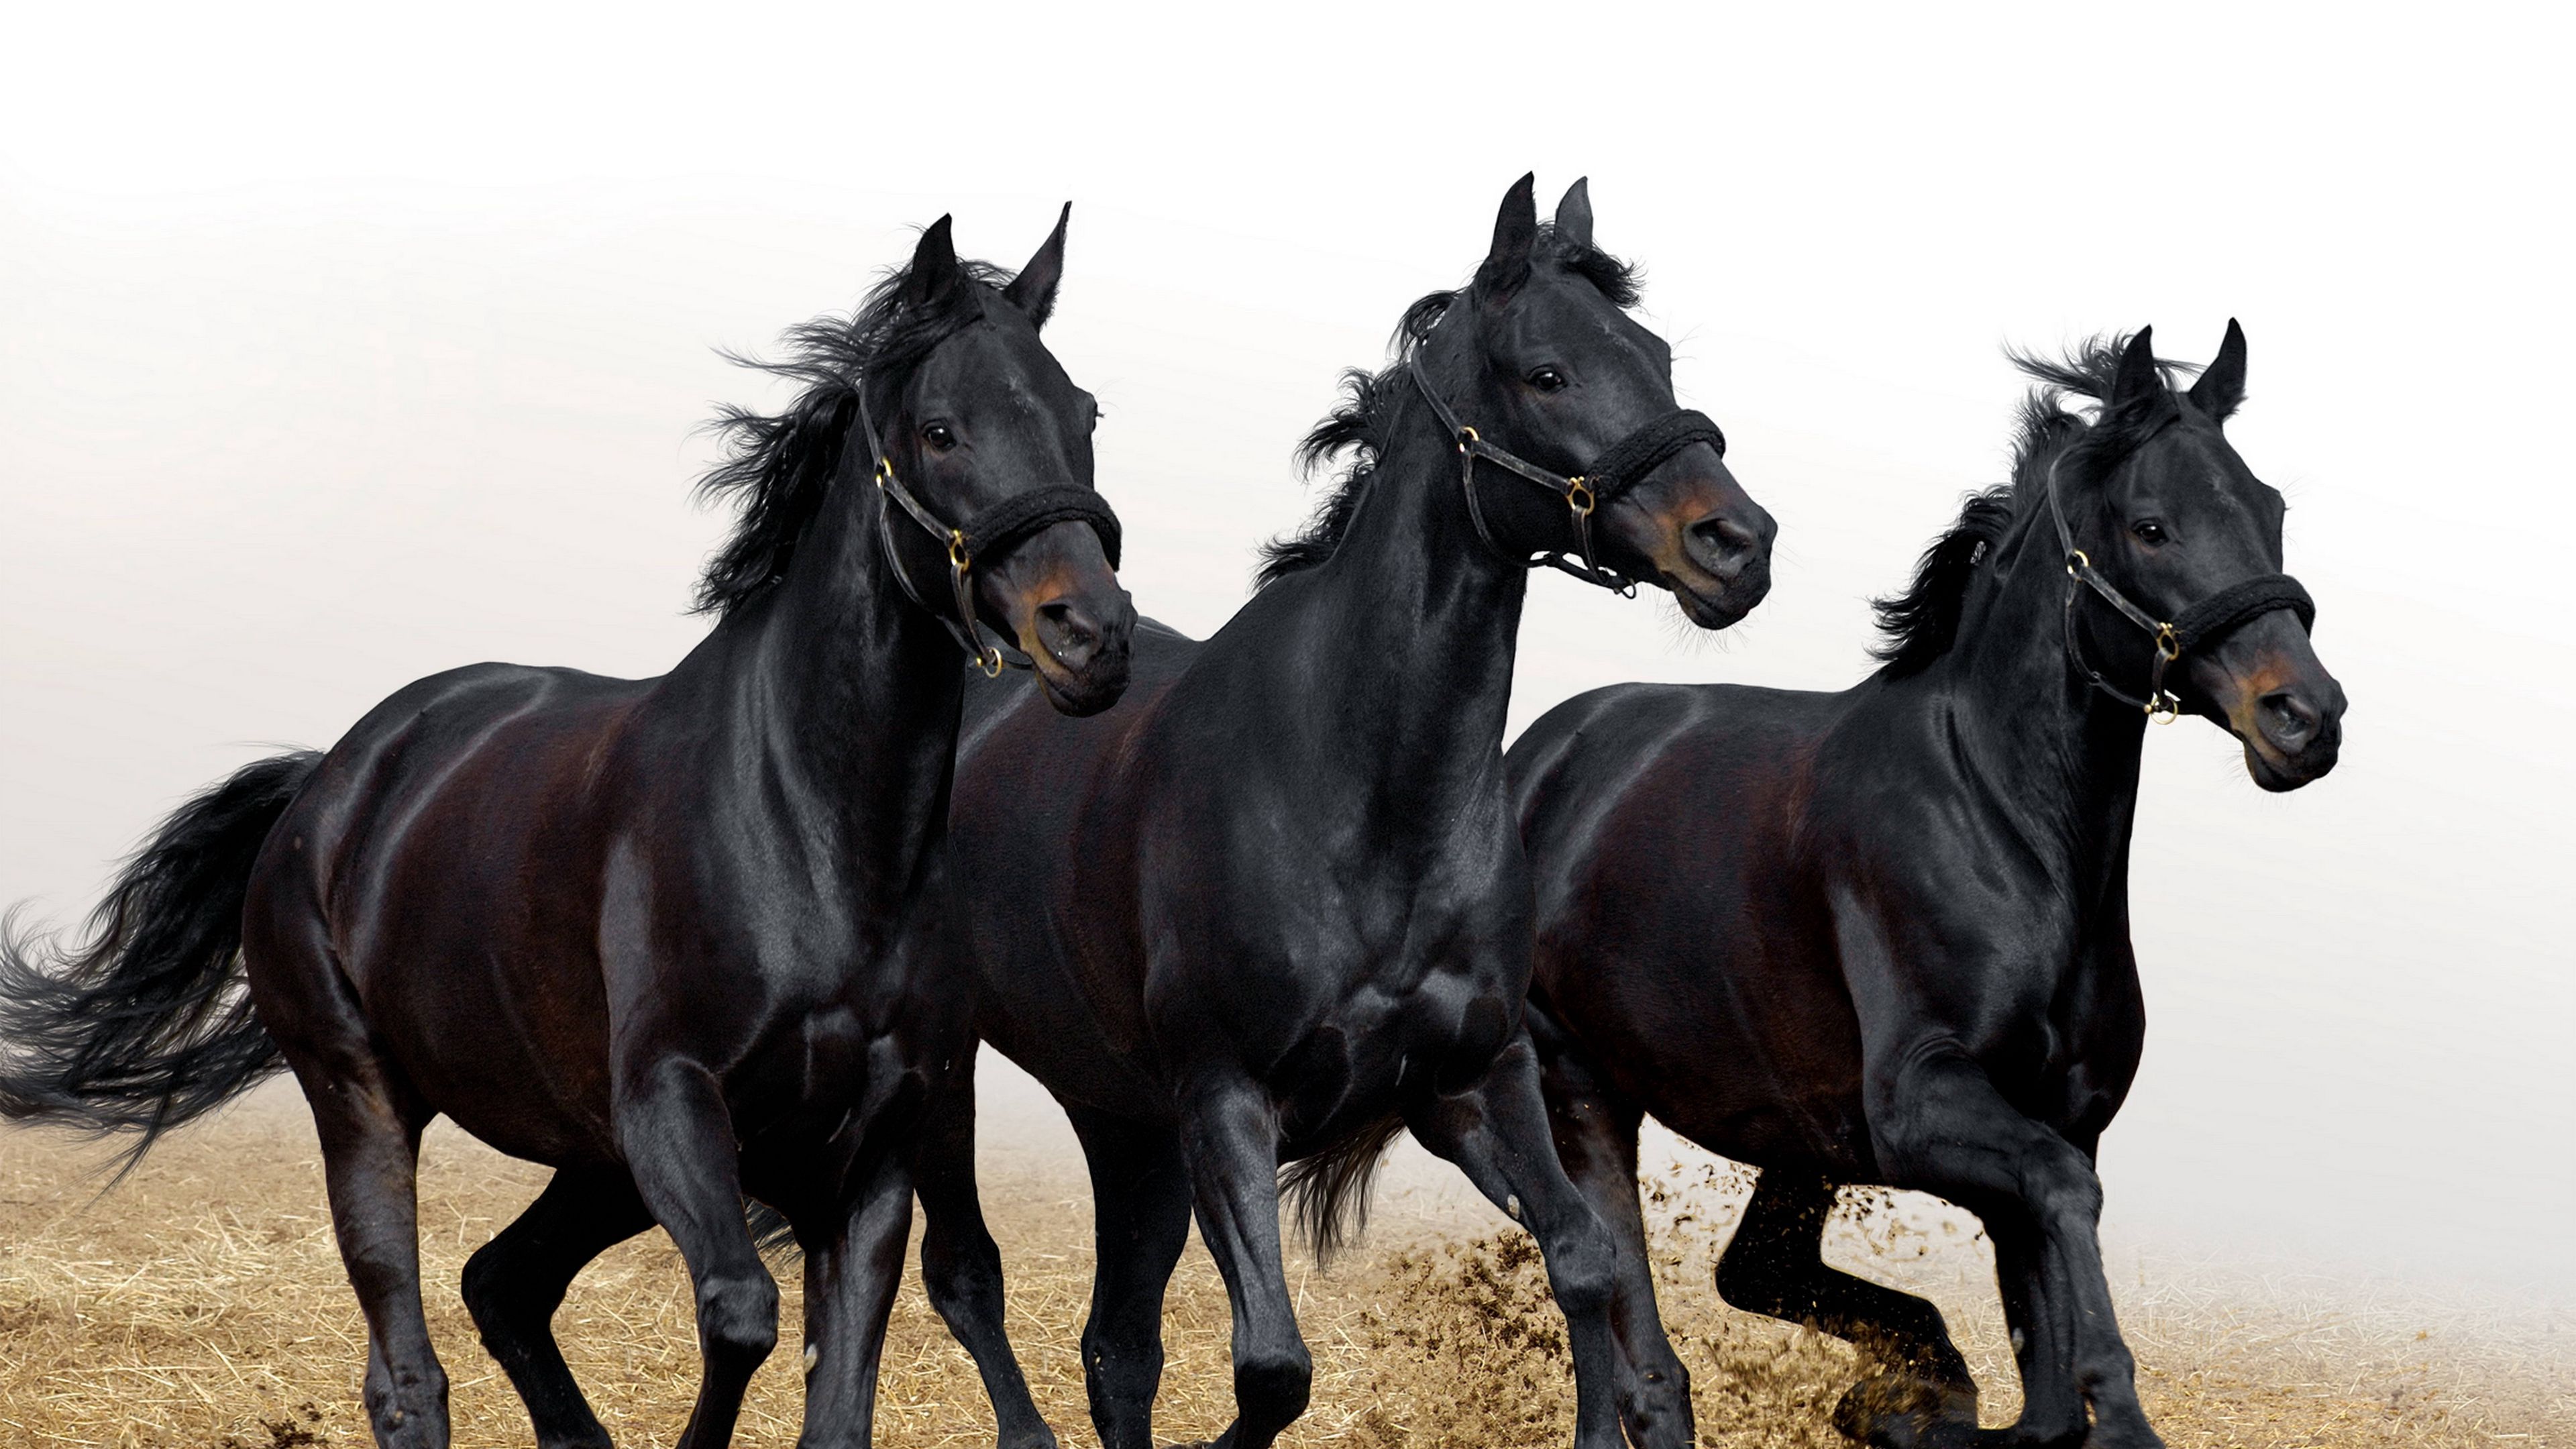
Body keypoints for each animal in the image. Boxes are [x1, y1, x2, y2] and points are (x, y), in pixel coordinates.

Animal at [0, 211, 1135, 1449]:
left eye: (1084, 415)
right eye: (940, 429)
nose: (1091, 635)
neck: (815, 835)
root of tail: (330, 785)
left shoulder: (870, 1150)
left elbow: (836, 1403)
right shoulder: (674, 1106)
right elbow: (740, 1311)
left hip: (592, 1160)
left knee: (501, 1280)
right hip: (367, 1100)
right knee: (410, 1372)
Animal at [894, 175, 1776, 1449]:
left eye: (1654, 354)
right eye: (1546, 372)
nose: (1737, 545)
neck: (1364, 803)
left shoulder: (1477, 1077)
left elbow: (1586, 1264)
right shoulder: (1226, 1105)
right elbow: (1273, 1367)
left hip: (1124, 1122)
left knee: (1117, 1348)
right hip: (954, 1067)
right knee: (973, 1279)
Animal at [1506, 324, 2345, 1448]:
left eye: (2272, 512)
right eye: (2152, 526)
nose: (2306, 715)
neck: (2002, 831)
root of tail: (1534, 760)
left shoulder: (2049, 1115)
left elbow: (2044, 1342)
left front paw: (1938, 1405)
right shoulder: (1923, 1101)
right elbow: (2064, 1205)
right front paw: (2116, 1411)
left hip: (1795, 1136)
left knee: (1754, 1269)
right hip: (1582, 1084)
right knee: (1631, 1315)